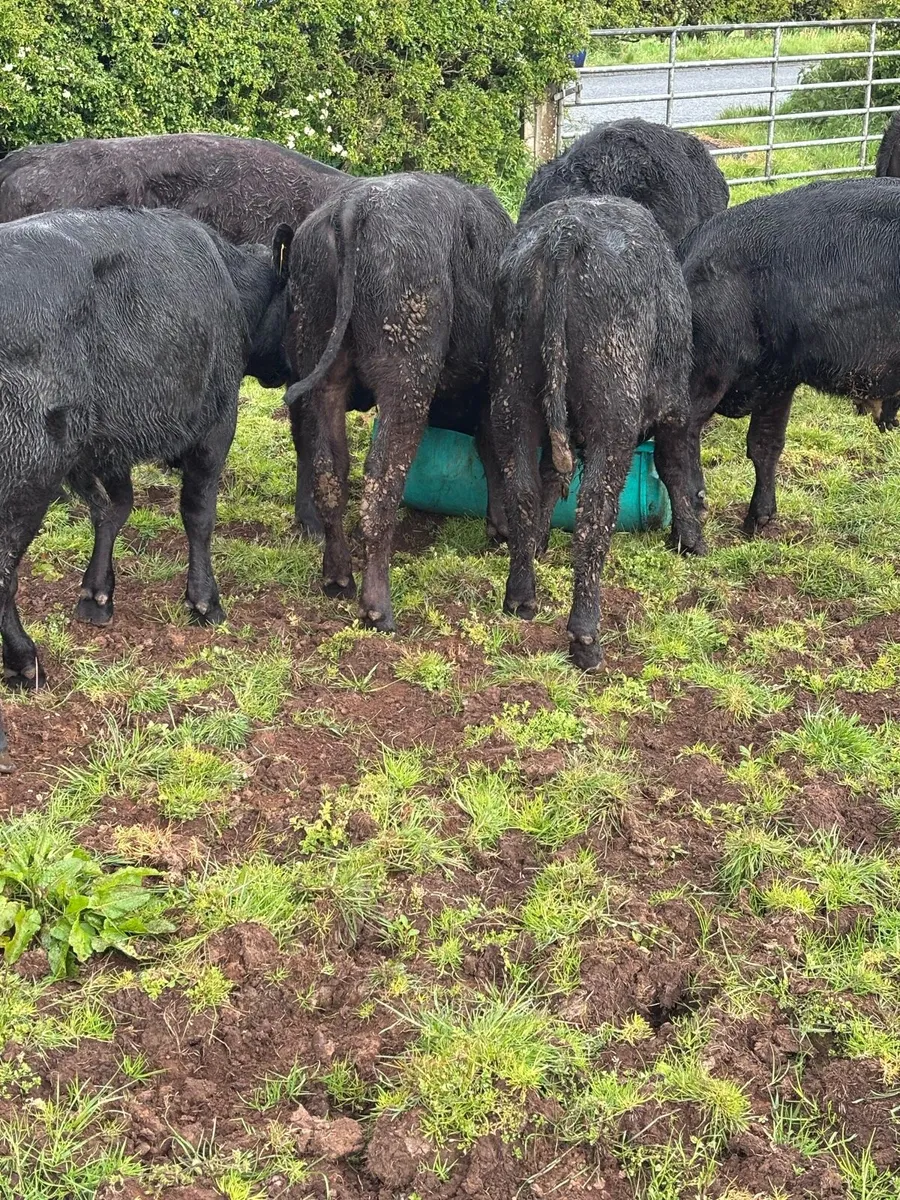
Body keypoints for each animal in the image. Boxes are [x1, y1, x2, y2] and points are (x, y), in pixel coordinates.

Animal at [0, 207, 293, 773]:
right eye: (296, 302)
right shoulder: (215, 421)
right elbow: (198, 513)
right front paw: (204, 600)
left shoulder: (102, 443)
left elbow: (112, 508)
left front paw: (97, 594)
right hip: (27, 476)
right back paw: (24, 661)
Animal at [285, 172, 514, 632]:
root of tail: (354, 205)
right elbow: (491, 446)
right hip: (406, 381)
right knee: (380, 482)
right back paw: (378, 609)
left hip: (322, 374)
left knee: (329, 472)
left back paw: (337, 579)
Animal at [491, 197, 693, 669]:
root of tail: (567, 233)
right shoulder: (675, 406)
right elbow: (675, 467)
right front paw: (692, 539)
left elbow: (548, 480)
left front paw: (540, 542)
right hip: (612, 422)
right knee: (594, 513)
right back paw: (586, 638)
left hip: (512, 401)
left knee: (523, 489)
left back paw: (520, 596)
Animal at [673, 178, 900, 550]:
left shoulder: (780, 380)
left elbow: (766, 443)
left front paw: (760, 522)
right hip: (708, 370)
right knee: (677, 441)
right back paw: (689, 538)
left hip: (770, 374)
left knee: (759, 443)